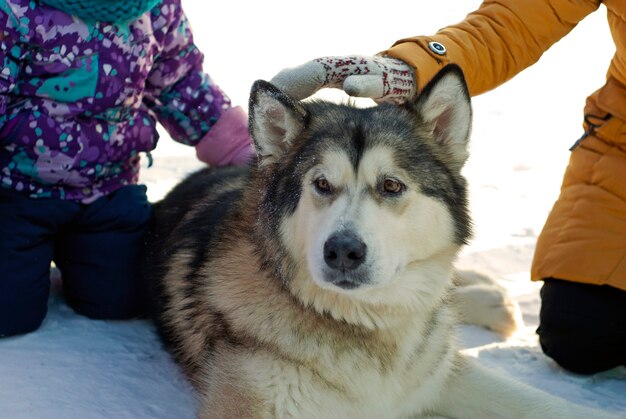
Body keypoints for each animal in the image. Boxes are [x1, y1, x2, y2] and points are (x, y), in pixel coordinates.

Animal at [145, 67, 604, 418]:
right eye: (322, 184)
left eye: (391, 185)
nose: (343, 251)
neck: (364, 322)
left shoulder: (438, 374)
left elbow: (547, 404)